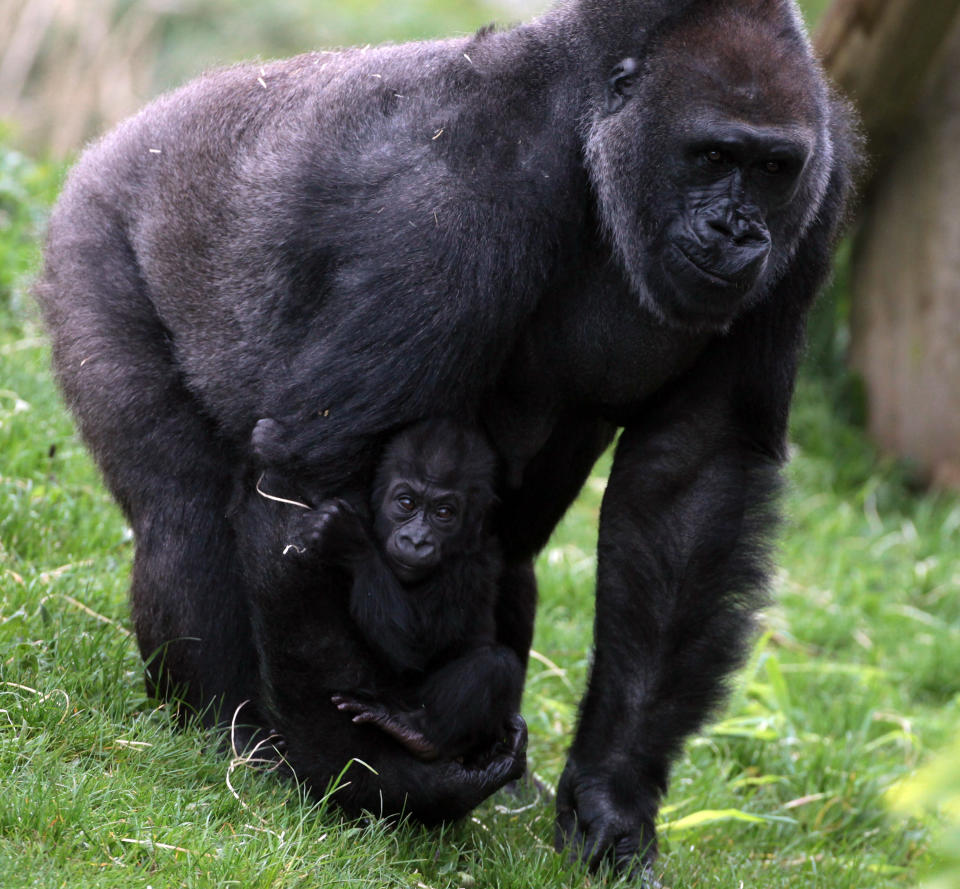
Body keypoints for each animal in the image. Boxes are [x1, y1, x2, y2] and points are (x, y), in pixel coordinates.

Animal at [253, 416, 524, 764]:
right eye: (406, 503)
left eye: (444, 513)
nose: (416, 540)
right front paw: (274, 445)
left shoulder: (471, 568)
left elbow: (413, 645)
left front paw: (348, 539)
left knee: (497, 666)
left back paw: (413, 729)